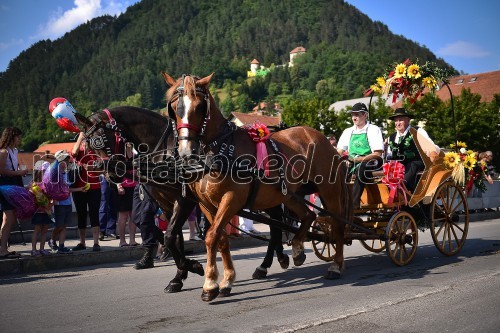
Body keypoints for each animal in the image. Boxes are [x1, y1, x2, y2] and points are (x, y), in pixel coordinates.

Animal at [163, 71, 352, 300]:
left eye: (200, 106)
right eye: (174, 107)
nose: (186, 151)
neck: (219, 150)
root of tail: (319, 137)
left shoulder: (232, 199)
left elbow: (211, 236)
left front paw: (209, 284)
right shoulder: (205, 204)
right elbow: (221, 238)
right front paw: (226, 280)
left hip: (328, 190)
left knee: (337, 224)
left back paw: (335, 265)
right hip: (288, 194)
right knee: (308, 215)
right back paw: (297, 249)